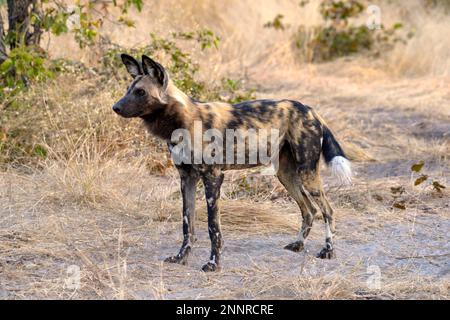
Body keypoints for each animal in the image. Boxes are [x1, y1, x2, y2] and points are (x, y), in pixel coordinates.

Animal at [112, 55, 352, 272]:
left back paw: (328, 250)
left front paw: (213, 264)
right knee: (309, 210)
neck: (182, 121)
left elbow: (213, 227)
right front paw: (181, 258)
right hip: (286, 175)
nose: (115, 107)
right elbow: (187, 224)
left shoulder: (213, 178)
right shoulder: (186, 178)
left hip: (307, 174)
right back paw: (299, 244)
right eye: (128, 89)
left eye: (141, 92)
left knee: (328, 210)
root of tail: (310, 110)